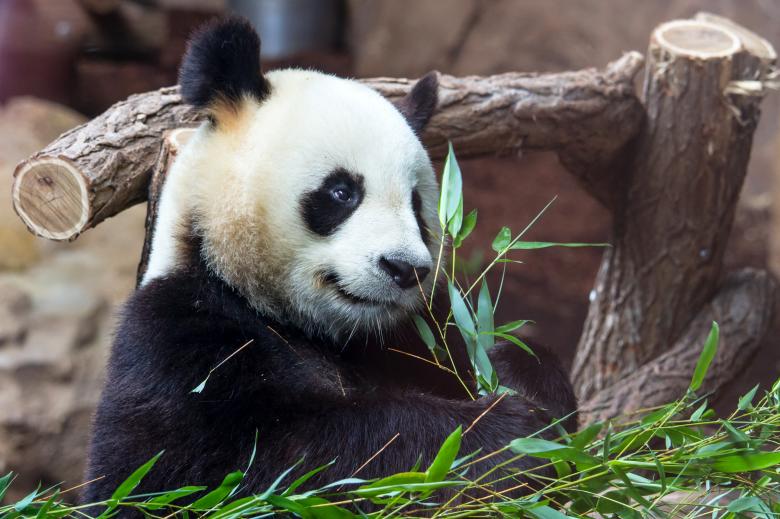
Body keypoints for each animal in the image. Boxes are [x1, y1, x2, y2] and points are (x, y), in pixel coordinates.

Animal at [83, 17, 577, 508]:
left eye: (417, 205)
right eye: (342, 192)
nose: (403, 269)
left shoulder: (420, 330)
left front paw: (515, 374)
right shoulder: (176, 334)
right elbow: (264, 461)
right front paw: (507, 440)